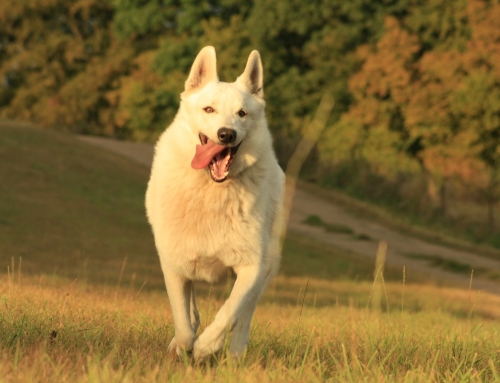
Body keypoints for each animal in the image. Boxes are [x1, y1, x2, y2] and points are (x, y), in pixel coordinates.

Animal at [146, 46, 286, 362]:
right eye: (208, 110)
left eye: (242, 113)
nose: (226, 134)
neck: (210, 191)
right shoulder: (173, 265)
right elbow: (184, 321)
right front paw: (184, 347)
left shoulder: (252, 267)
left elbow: (229, 313)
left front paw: (206, 347)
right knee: (192, 312)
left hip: (268, 265)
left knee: (243, 319)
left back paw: (233, 354)